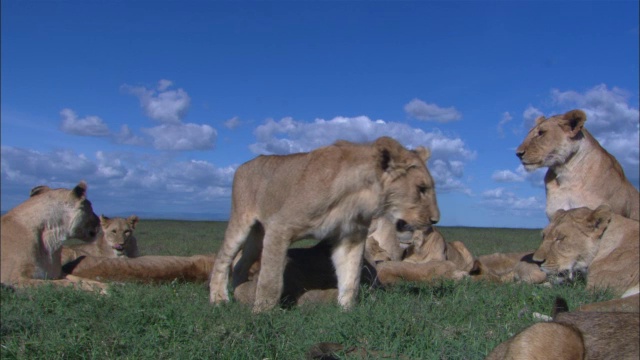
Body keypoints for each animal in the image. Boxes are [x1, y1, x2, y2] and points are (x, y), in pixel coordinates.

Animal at [210, 137, 440, 312]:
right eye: (421, 189)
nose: (435, 220)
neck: (356, 197)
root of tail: (244, 165)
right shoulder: (279, 227)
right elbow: (270, 280)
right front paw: (262, 314)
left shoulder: (350, 239)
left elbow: (350, 278)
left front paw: (347, 311)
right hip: (241, 220)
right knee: (222, 259)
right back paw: (220, 299)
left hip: (258, 234)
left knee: (241, 263)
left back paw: (238, 292)